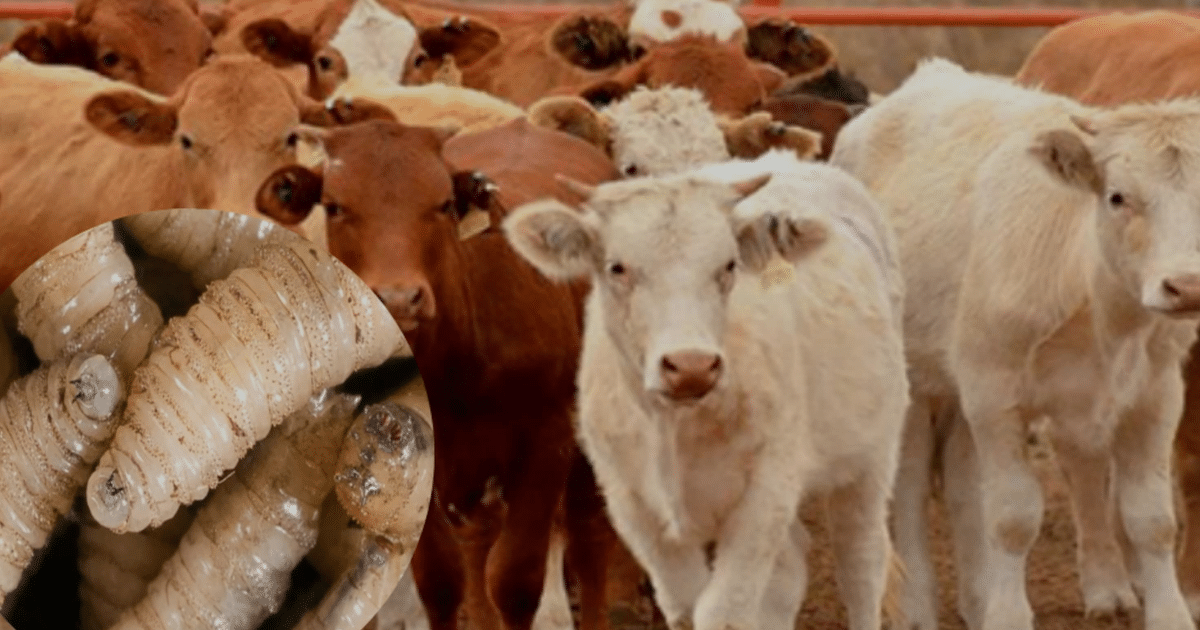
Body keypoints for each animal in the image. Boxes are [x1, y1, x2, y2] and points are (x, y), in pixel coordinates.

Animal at [252, 117, 621, 630]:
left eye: (444, 204)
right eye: (336, 206)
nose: (398, 297)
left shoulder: (547, 444)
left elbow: (516, 580)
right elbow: (441, 581)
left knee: (588, 539)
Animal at [502, 148, 908, 630]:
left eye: (729, 266)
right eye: (617, 267)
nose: (691, 367)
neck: (675, 427)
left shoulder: (765, 495)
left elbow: (723, 612)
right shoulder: (635, 507)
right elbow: (685, 604)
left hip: (870, 459)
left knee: (861, 562)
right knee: (788, 572)